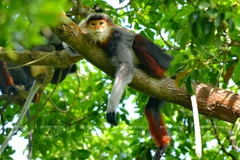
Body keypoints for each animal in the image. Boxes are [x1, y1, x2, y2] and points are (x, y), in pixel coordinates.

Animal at [81, 13, 173, 159]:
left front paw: (111, 107)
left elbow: (126, 68)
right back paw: (164, 143)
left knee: (138, 39)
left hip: (163, 62)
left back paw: (153, 71)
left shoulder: (116, 38)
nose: (97, 28)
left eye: (101, 23)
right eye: (93, 24)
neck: (105, 38)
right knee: (151, 109)